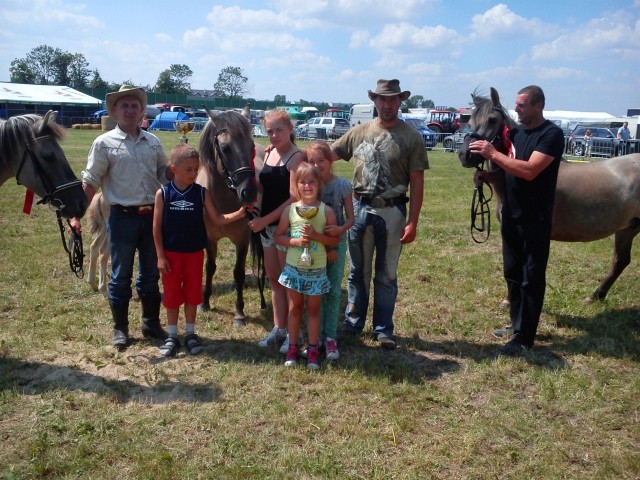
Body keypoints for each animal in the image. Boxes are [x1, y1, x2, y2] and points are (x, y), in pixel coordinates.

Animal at [196, 109, 264, 326]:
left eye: (251, 146)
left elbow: (239, 272)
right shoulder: (210, 239)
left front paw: (239, 312)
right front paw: (205, 303)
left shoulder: (242, 240)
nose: (249, 192)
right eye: (225, 148)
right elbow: (210, 267)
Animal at [460, 88, 640, 302]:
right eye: (470, 121)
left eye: (492, 120)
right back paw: (596, 296)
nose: (465, 154)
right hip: (627, 228)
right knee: (621, 261)